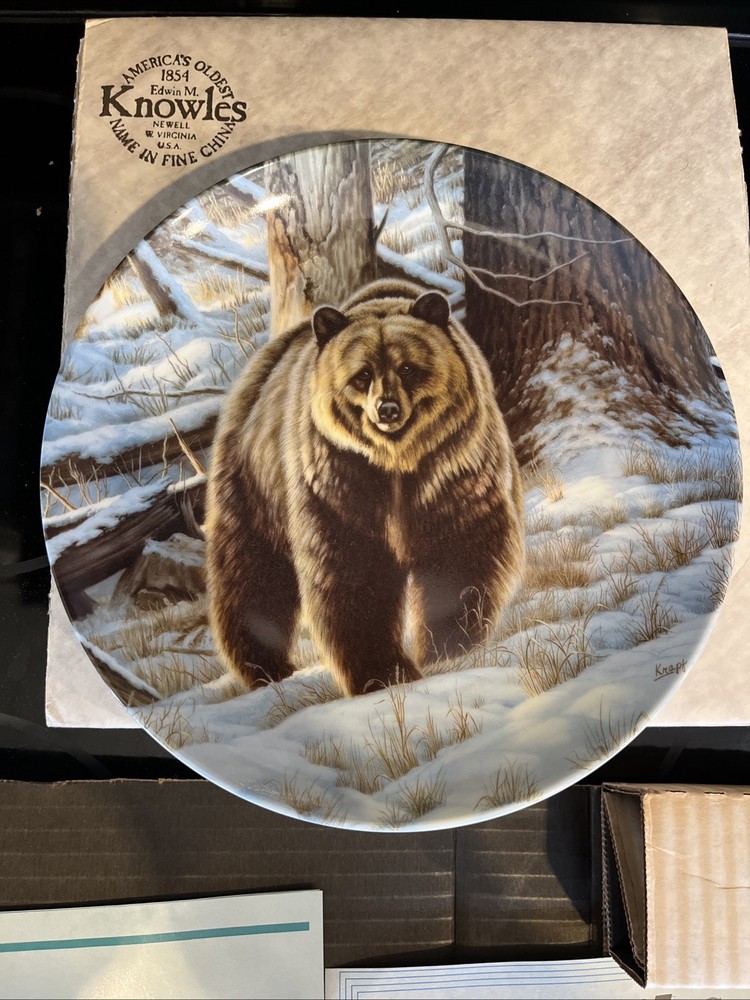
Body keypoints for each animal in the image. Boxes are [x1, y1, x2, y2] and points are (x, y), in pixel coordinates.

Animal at [204, 278, 525, 698]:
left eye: (408, 368)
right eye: (362, 374)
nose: (387, 409)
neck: (397, 461)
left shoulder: (452, 467)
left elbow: (461, 550)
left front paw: (449, 648)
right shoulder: (340, 481)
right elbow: (351, 571)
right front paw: (383, 672)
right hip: (254, 483)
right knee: (250, 571)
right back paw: (265, 667)